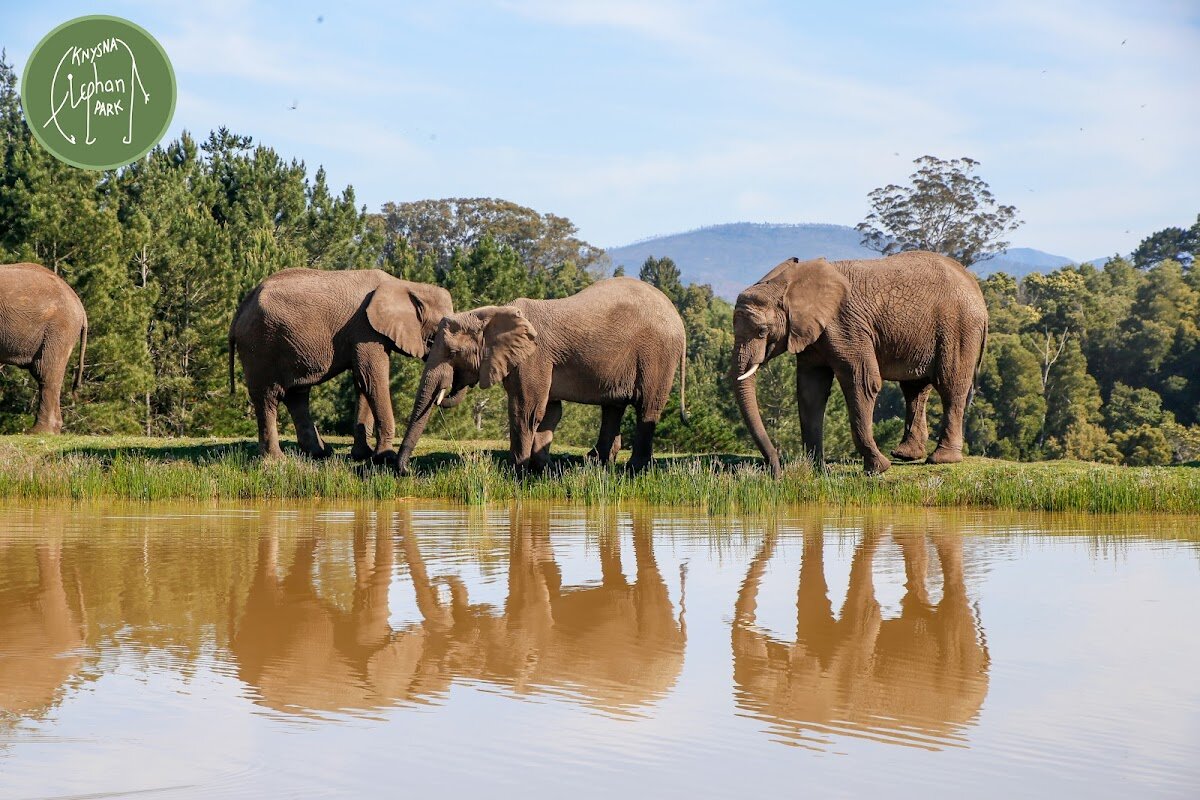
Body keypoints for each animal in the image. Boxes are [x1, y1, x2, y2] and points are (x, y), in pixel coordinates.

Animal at [229, 268, 453, 462]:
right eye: (437, 336)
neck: (405, 285)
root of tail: (241, 309)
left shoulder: (366, 333)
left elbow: (363, 382)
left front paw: (362, 455)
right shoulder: (365, 329)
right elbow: (373, 380)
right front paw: (385, 458)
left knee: (297, 395)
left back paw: (321, 452)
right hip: (260, 346)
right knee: (268, 397)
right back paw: (276, 461)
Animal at [395, 276, 687, 474]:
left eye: (454, 353)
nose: (406, 471)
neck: (492, 313)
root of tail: (677, 316)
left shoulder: (535, 356)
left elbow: (526, 409)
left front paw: (517, 471)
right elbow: (550, 411)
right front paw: (542, 469)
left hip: (657, 354)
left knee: (647, 406)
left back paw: (634, 469)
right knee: (613, 407)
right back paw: (596, 464)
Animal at [730, 251, 988, 475]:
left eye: (762, 331)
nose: (776, 472)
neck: (787, 285)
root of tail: (975, 288)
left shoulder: (845, 325)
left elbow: (862, 382)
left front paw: (877, 469)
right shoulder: (813, 336)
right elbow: (810, 390)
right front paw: (816, 469)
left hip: (959, 327)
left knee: (950, 386)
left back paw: (941, 459)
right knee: (915, 389)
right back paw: (905, 455)